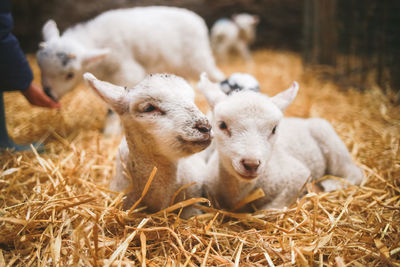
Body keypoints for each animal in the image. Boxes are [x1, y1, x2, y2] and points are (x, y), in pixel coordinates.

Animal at [198, 74, 364, 213]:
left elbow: (268, 211)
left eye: (274, 129)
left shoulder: (299, 175)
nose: (251, 164)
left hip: (329, 139)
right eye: (222, 125)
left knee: (354, 173)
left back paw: (330, 184)